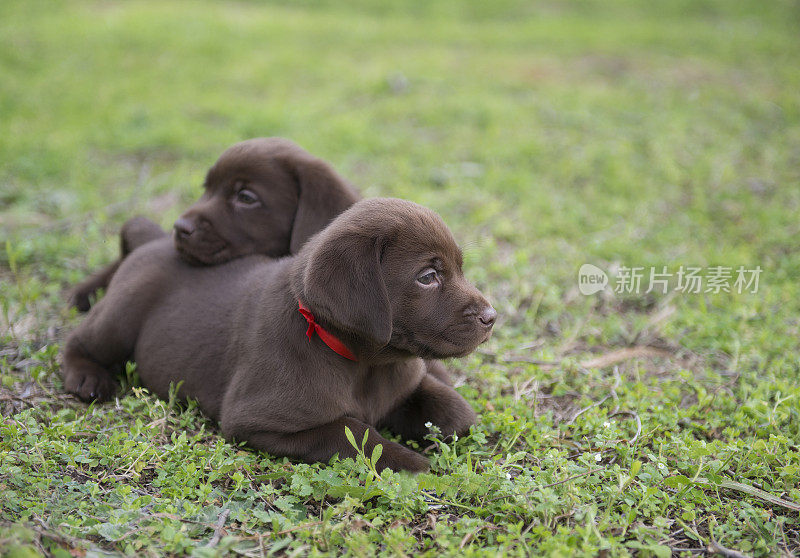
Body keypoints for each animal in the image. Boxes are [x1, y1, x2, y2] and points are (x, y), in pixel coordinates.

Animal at [61, 200, 494, 472]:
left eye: (459, 268)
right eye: (428, 276)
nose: (492, 317)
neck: (365, 366)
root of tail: (156, 241)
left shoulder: (404, 383)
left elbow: (457, 413)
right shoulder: (256, 421)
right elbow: (352, 432)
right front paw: (412, 463)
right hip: (122, 315)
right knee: (80, 341)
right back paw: (87, 377)